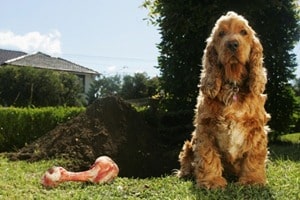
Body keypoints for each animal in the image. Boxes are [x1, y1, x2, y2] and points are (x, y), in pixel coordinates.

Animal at [177, 10, 270, 189]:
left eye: (244, 32)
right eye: (221, 34)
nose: (232, 44)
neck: (233, 85)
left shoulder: (257, 127)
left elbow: (254, 156)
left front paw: (252, 181)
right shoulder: (205, 128)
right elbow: (207, 156)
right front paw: (212, 182)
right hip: (188, 144)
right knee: (186, 158)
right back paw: (185, 173)